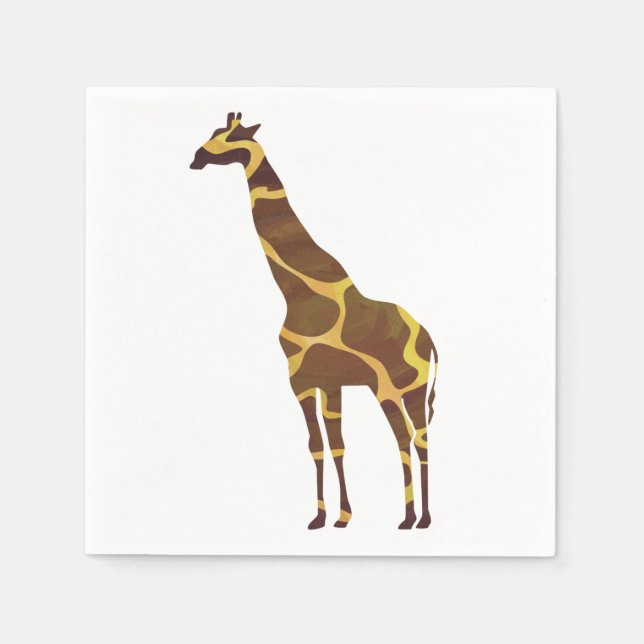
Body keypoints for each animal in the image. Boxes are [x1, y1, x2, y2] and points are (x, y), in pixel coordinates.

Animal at [190, 112, 438, 530]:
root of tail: (431, 341)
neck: (298, 293)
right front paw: (333, 517)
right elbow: (327, 445)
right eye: (214, 132)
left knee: (411, 439)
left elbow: (323, 444)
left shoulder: (305, 380)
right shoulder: (319, 381)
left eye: (230, 137)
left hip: (401, 387)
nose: (195, 158)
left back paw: (415, 519)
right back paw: (415, 517)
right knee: (413, 438)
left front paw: (334, 515)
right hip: (400, 389)